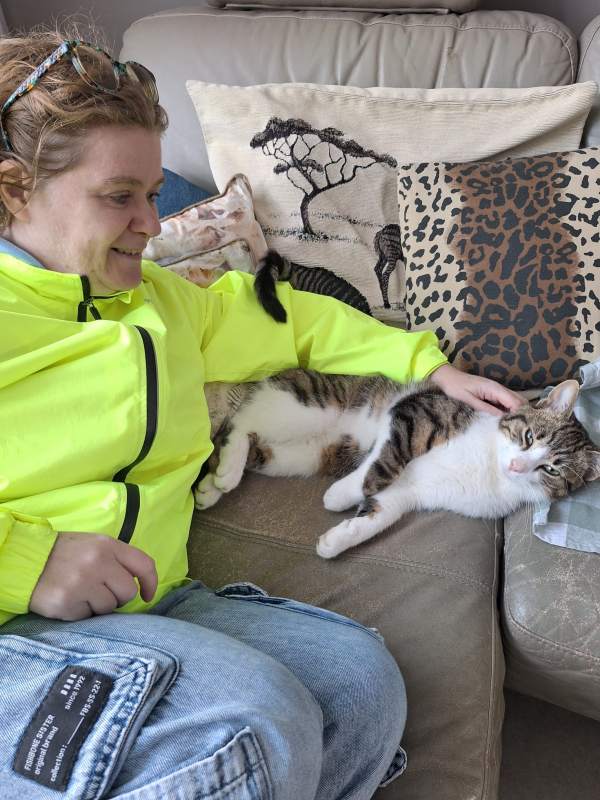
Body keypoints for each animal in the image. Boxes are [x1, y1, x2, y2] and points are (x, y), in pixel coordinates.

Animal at [195, 369, 600, 559]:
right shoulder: (415, 413)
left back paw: (211, 486)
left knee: (255, 445)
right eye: (528, 437)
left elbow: (379, 516)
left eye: (551, 470)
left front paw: (336, 539)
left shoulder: (411, 494)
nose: (517, 467)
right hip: (302, 408)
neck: (489, 466)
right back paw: (226, 473)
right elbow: (385, 458)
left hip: (304, 454)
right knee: (241, 423)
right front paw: (344, 494)